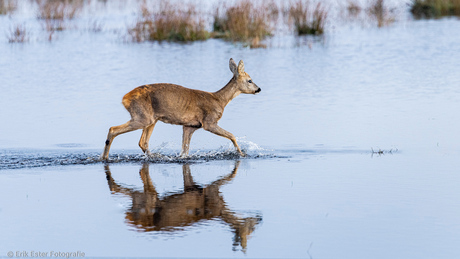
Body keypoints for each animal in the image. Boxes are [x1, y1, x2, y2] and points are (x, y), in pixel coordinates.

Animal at [102, 59, 260, 160]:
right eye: (250, 80)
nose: (258, 89)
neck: (220, 100)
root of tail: (125, 98)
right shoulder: (209, 122)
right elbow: (232, 135)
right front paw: (241, 154)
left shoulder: (189, 126)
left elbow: (185, 150)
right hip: (142, 117)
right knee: (113, 129)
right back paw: (105, 158)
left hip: (151, 119)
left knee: (142, 142)